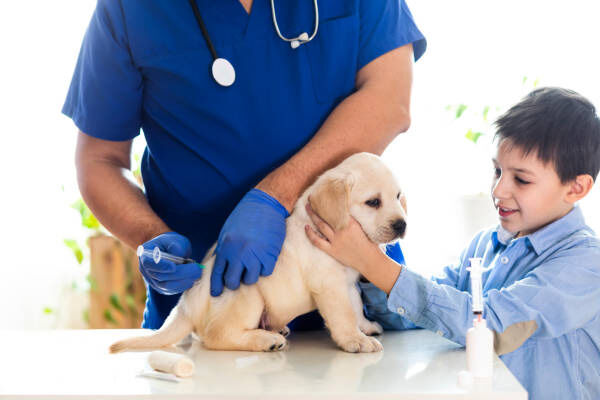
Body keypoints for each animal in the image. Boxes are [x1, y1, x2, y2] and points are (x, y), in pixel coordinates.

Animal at [109, 152, 407, 353]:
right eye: (373, 202)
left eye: (397, 196)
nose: (402, 225)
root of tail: (186, 304)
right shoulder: (330, 285)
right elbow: (344, 315)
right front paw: (355, 340)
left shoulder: (349, 283)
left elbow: (356, 307)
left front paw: (365, 327)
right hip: (247, 293)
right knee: (215, 335)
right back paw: (267, 340)